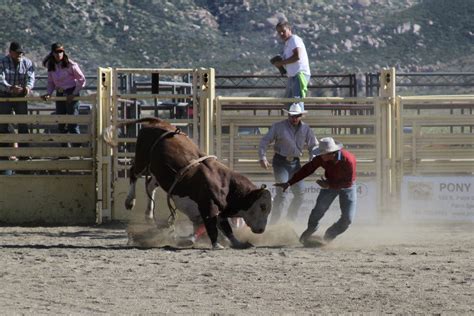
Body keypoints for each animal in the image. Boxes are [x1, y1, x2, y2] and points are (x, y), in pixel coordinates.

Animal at [103, 117, 270, 248]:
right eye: (262, 206)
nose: (262, 230)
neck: (226, 185)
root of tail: (157, 122)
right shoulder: (208, 207)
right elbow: (212, 227)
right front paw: (216, 245)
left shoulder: (220, 212)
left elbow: (226, 229)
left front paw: (238, 243)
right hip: (142, 160)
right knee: (133, 173)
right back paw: (129, 201)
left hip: (159, 173)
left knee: (150, 186)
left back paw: (149, 216)